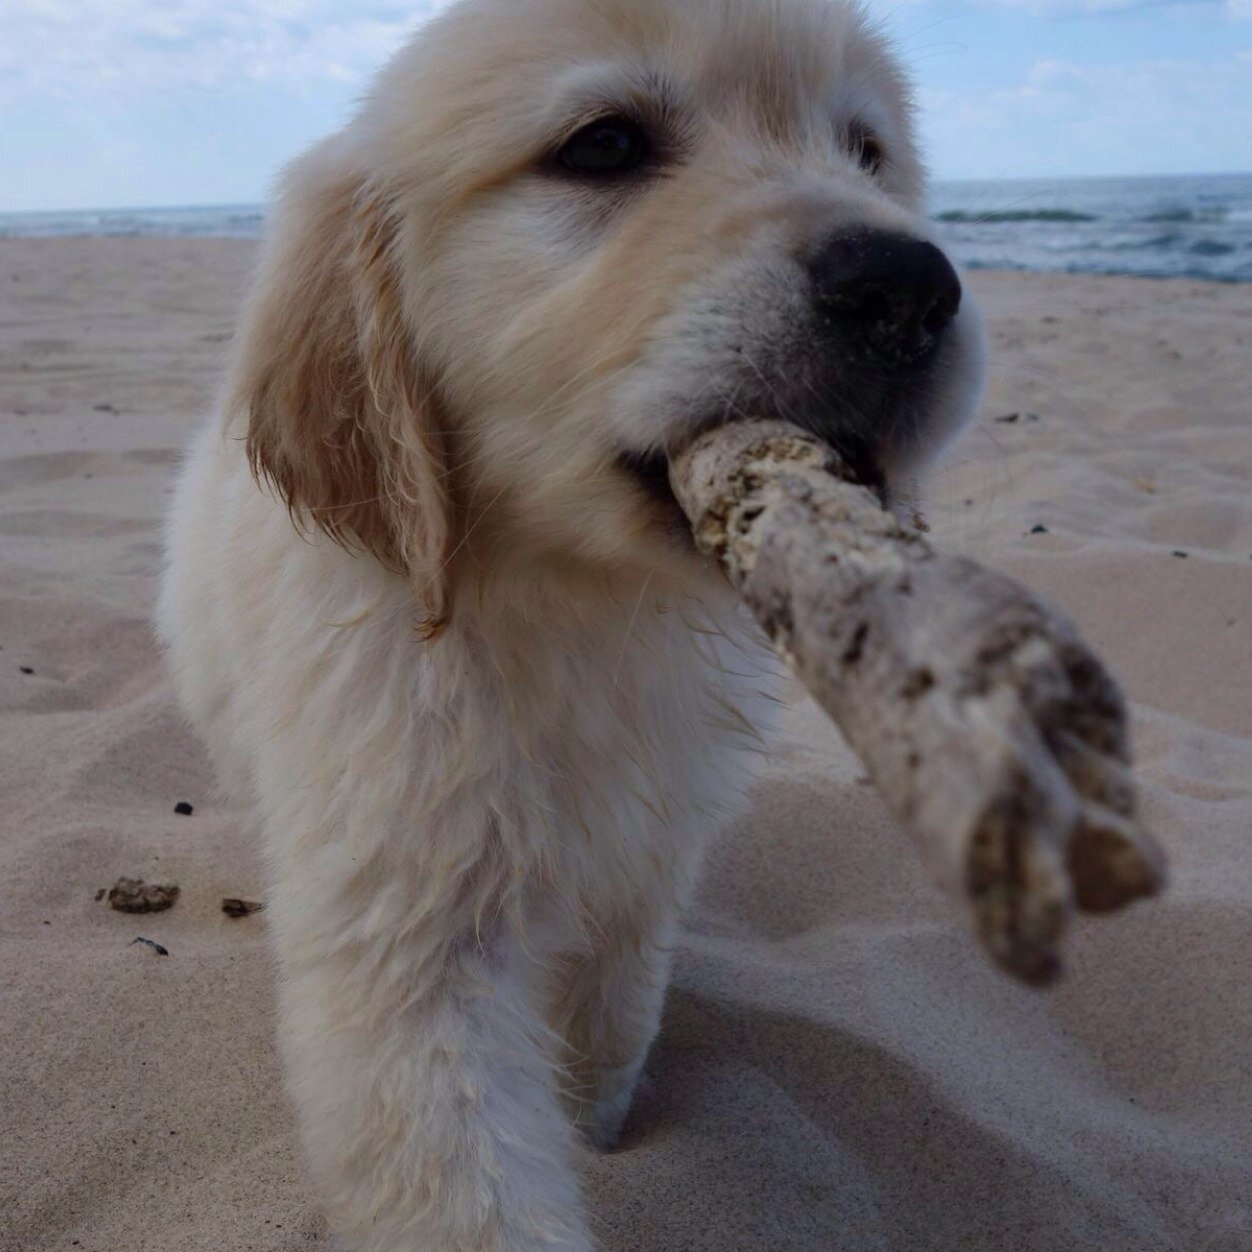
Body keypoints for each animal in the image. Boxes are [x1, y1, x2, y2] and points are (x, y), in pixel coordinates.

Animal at [156, 0, 981, 1246]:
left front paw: (602, 1132)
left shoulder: (645, 847)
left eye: (866, 151)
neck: (573, 599)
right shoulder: (407, 934)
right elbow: (461, 1191)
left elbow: (613, 1014)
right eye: (603, 146)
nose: (907, 286)